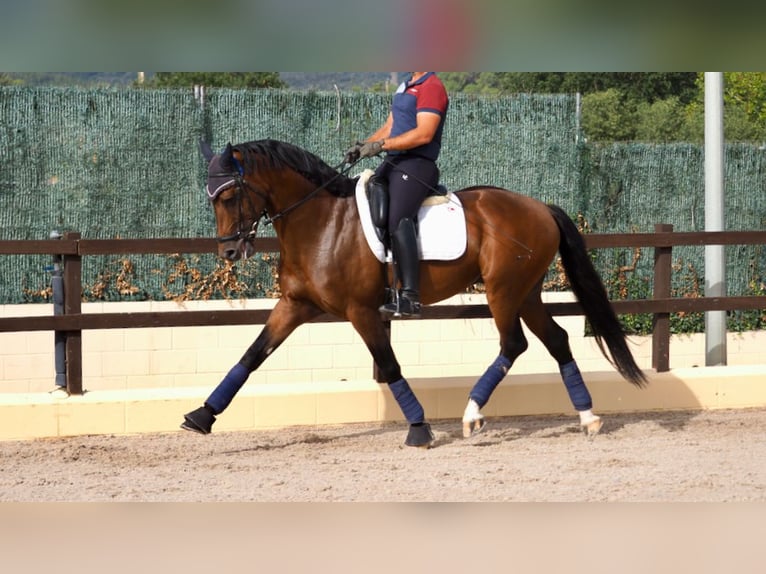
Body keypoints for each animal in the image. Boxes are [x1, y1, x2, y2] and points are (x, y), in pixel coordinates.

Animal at [182, 141, 648, 450]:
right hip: (526, 293)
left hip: (503, 290)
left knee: (514, 344)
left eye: (229, 195)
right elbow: (251, 356)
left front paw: (419, 428)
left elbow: (389, 366)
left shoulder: (362, 311)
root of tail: (540, 207)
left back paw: (472, 415)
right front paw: (201, 416)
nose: (229, 251)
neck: (320, 223)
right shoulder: (295, 305)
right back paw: (588, 417)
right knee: (557, 340)